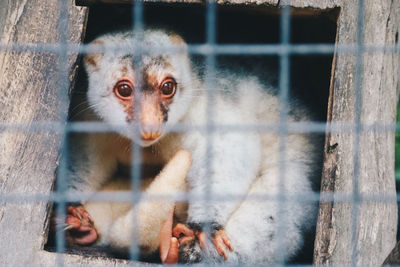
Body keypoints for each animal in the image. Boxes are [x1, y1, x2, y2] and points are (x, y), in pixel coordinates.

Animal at [64, 28, 322, 264]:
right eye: (124, 89)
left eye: (168, 87)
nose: (150, 126)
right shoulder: (91, 118)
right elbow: (88, 156)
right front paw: (71, 210)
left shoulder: (207, 108)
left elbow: (230, 146)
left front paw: (205, 225)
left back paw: (184, 249)